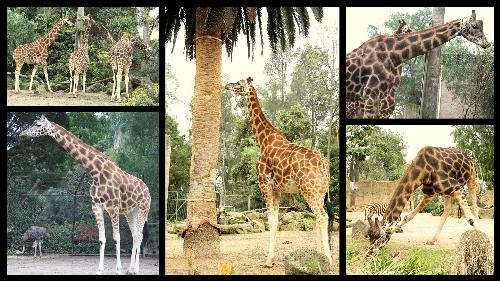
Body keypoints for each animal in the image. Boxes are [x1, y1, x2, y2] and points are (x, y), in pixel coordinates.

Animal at [19, 114, 150, 274]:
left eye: (37, 124)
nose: (22, 134)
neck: (96, 173)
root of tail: (147, 189)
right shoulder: (96, 207)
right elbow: (102, 239)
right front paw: (99, 270)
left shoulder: (113, 207)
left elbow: (116, 237)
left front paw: (118, 269)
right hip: (130, 212)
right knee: (136, 235)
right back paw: (130, 269)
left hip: (143, 209)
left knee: (140, 235)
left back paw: (135, 269)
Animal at [224, 77, 332, 266]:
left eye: (239, 82)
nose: (226, 85)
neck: (263, 141)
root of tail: (324, 165)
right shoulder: (277, 189)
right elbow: (275, 220)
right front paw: (271, 258)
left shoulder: (264, 184)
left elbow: (272, 221)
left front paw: (269, 260)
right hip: (319, 192)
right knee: (319, 218)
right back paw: (319, 255)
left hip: (309, 190)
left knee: (322, 217)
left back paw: (328, 259)